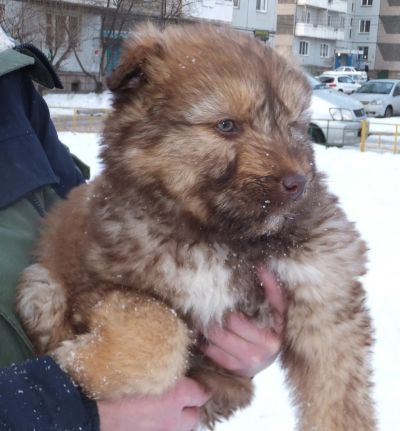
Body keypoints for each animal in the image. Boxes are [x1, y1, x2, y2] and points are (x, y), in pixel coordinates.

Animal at [17, 24, 376, 431]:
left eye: (292, 126)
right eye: (226, 125)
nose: (297, 183)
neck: (220, 237)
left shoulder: (326, 298)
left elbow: (341, 399)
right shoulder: (100, 285)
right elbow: (161, 331)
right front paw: (75, 362)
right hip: (39, 282)